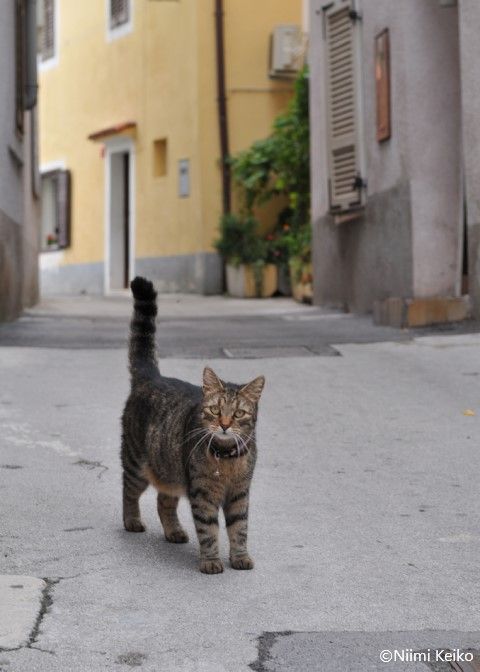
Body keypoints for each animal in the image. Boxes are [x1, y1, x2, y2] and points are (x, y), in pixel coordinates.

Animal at [121, 277, 265, 574]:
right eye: (215, 409)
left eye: (238, 414)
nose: (224, 425)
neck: (226, 460)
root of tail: (152, 376)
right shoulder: (202, 495)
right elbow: (209, 531)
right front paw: (211, 561)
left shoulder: (239, 494)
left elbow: (240, 528)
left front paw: (240, 556)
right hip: (137, 464)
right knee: (128, 490)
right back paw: (132, 521)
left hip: (170, 472)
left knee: (163, 501)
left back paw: (174, 531)